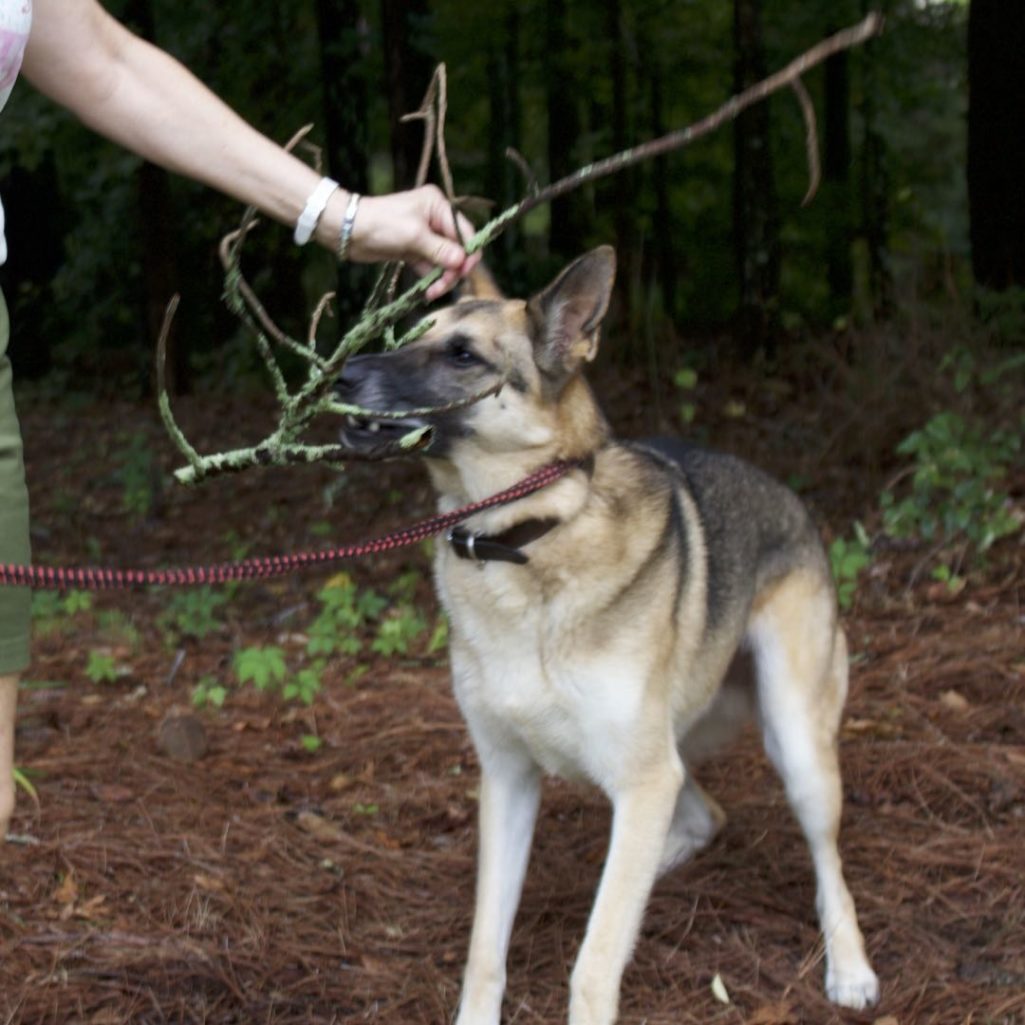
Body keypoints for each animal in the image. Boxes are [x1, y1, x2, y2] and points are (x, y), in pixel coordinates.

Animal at [338, 248, 881, 1025]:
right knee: (701, 815)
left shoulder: (643, 778)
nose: (343, 377)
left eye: (462, 355)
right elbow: (485, 947)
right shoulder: (508, 780)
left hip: (794, 747)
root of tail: (791, 498)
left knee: (825, 864)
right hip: (662, 752)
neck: (523, 541)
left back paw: (848, 965)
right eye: (415, 333)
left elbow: (593, 963)